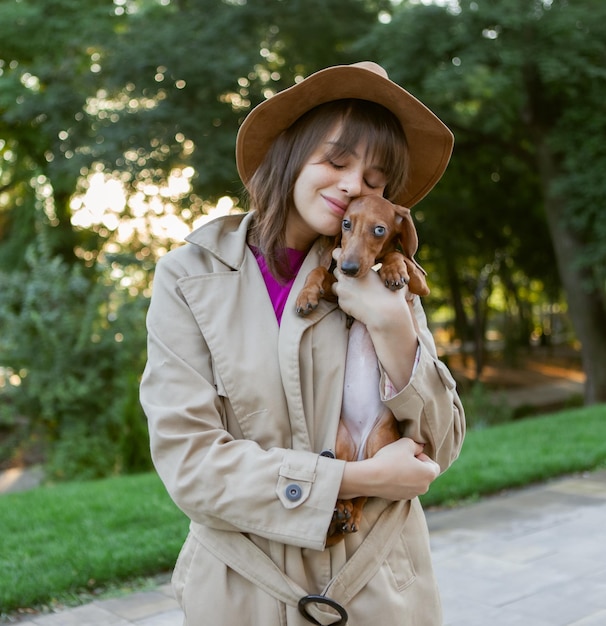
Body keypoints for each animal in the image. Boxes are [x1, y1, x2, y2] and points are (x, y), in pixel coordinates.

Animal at [296, 194, 430, 540]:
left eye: (379, 229)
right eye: (346, 223)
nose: (349, 267)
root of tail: (358, 451)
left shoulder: (420, 285)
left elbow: (402, 255)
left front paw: (394, 269)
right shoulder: (339, 293)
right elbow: (319, 271)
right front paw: (305, 295)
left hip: (379, 443)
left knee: (367, 492)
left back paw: (351, 516)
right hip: (341, 445)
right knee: (351, 485)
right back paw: (341, 512)